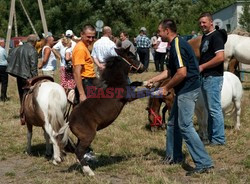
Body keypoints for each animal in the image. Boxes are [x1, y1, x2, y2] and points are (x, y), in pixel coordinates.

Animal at [59, 46, 146, 176]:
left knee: (78, 151)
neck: (115, 84)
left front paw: (147, 82)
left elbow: (135, 83)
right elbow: (142, 92)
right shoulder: (129, 97)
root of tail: (69, 121)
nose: (143, 67)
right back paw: (89, 171)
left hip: (82, 138)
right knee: (79, 151)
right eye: (131, 56)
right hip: (88, 136)